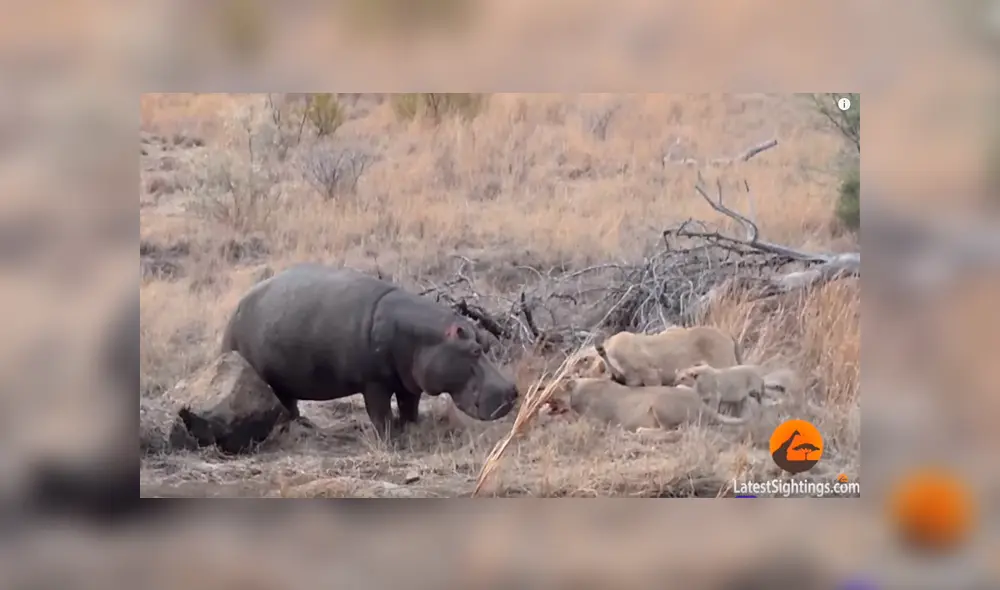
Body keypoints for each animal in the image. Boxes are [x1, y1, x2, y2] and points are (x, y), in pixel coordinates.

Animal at [548, 377, 751, 432]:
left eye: (552, 394)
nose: (545, 401)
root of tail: (701, 404)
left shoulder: (595, 421)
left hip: (660, 403)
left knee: (670, 431)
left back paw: (640, 431)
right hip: (682, 386)